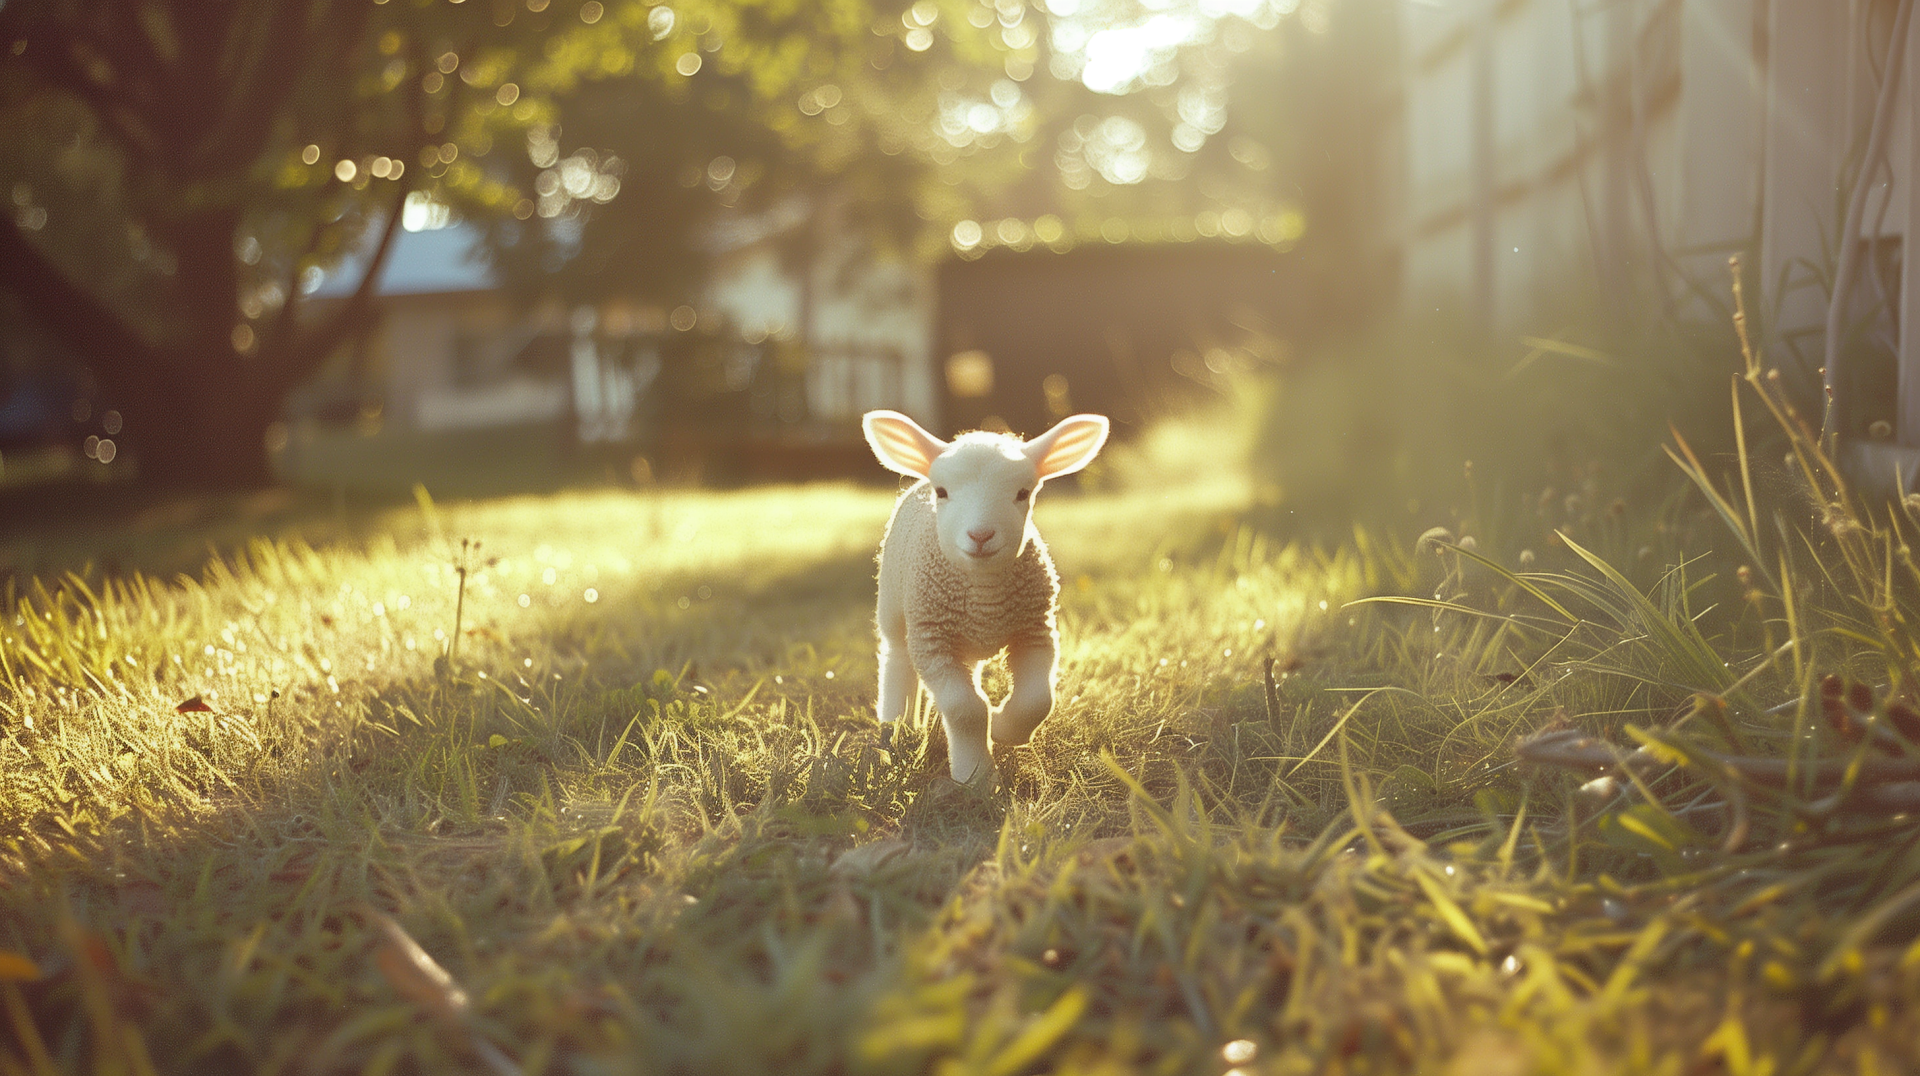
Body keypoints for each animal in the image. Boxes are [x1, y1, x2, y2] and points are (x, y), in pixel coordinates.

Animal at [861, 409, 1109, 787]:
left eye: (1023, 493)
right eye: (942, 492)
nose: (980, 535)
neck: (984, 595)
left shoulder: (1035, 630)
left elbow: (1038, 700)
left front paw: (1003, 728)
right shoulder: (932, 640)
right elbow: (965, 709)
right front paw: (976, 777)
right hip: (894, 607)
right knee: (896, 659)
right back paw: (897, 730)